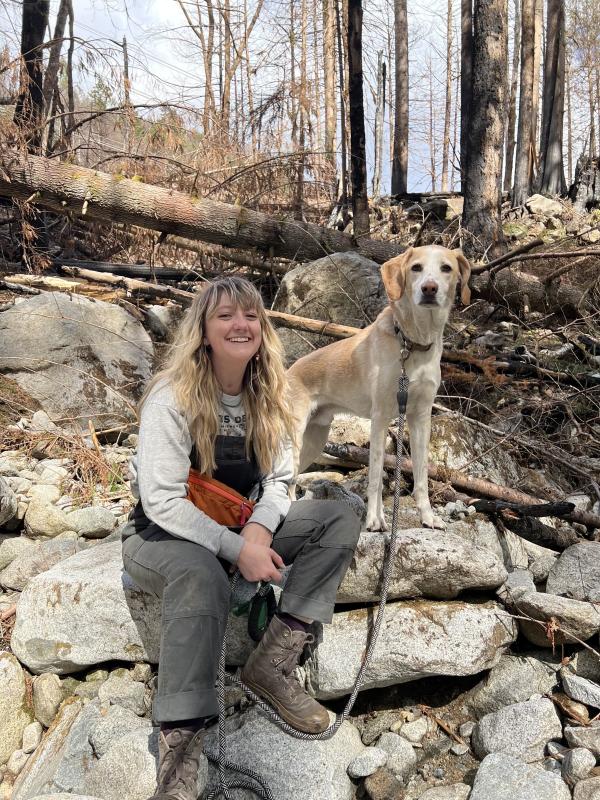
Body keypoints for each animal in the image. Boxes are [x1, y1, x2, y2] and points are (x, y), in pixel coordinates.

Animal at [288, 244, 472, 532]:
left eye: (446, 268)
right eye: (416, 268)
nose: (429, 289)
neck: (412, 343)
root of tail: (287, 372)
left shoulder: (421, 418)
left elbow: (421, 476)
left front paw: (428, 517)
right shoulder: (381, 417)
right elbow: (375, 475)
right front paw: (375, 519)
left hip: (314, 440)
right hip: (292, 438)